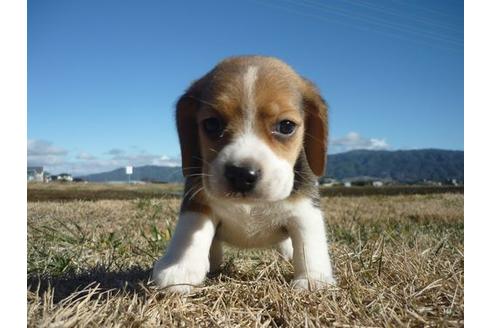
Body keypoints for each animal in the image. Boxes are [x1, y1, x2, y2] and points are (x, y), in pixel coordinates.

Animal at [154, 55, 336, 292]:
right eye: (211, 124)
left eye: (286, 126)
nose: (241, 174)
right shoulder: (197, 199)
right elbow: (189, 230)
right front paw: (180, 268)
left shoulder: (305, 207)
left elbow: (309, 241)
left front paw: (313, 279)